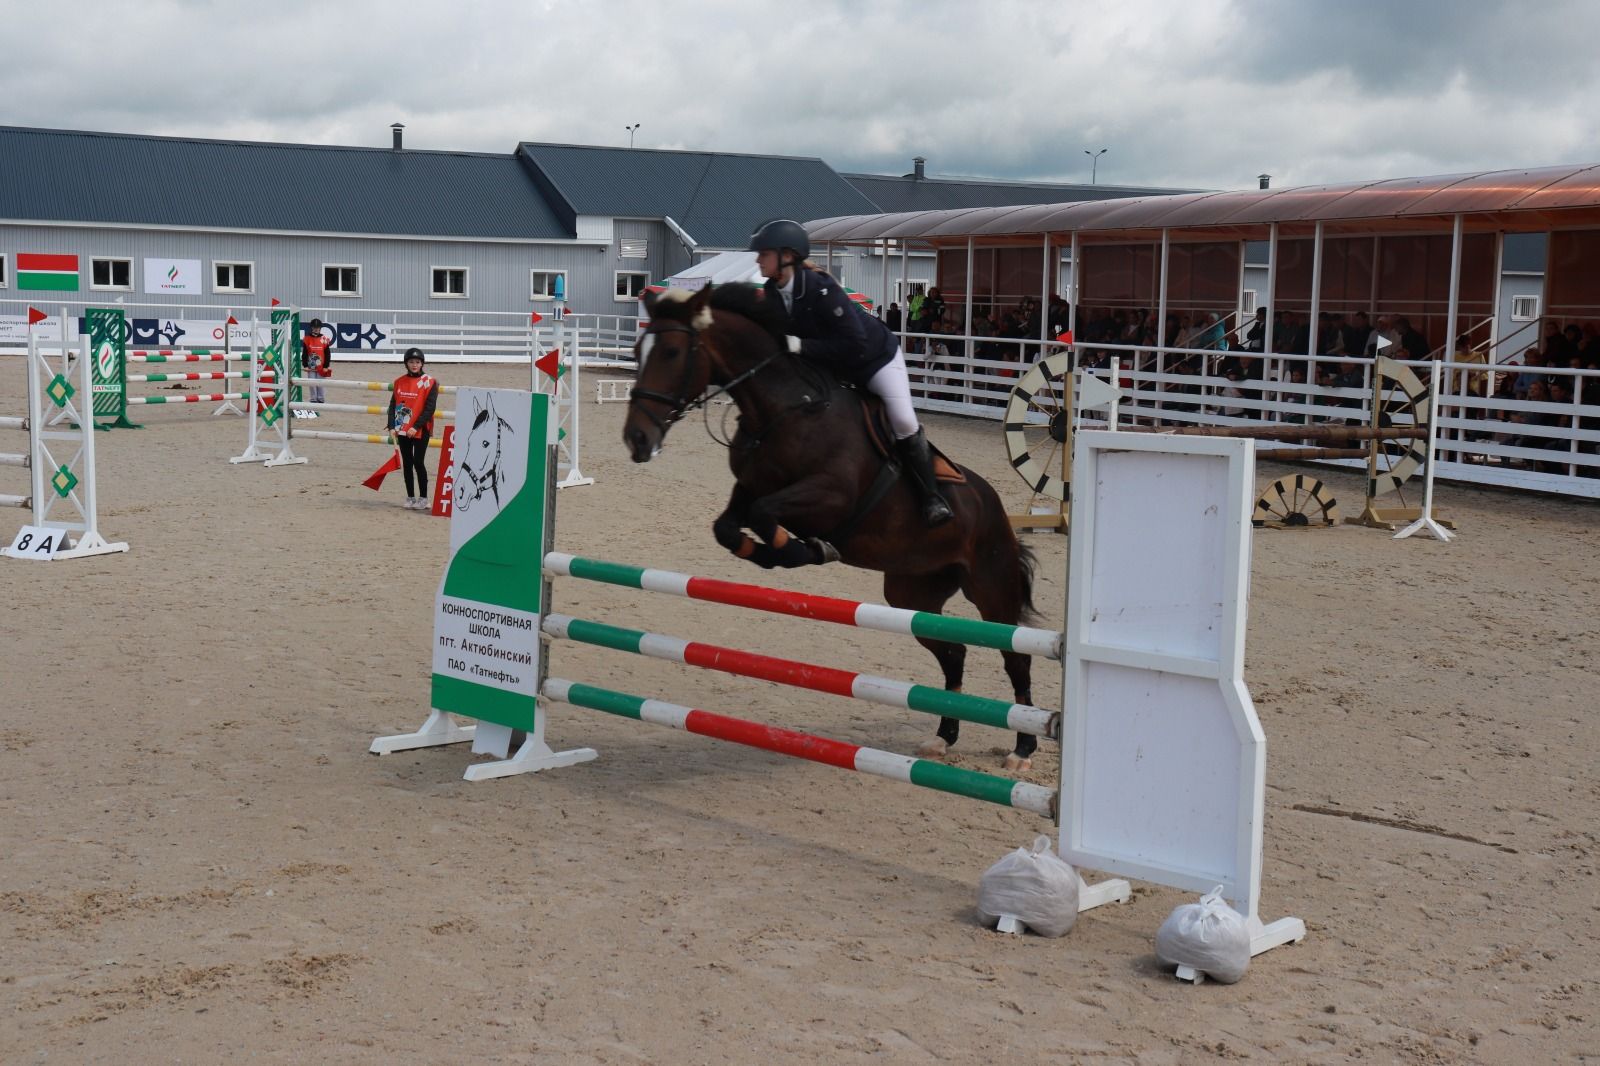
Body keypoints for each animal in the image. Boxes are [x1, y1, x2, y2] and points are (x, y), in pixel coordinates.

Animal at [617, 281, 1043, 765]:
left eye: (671, 352)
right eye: (636, 350)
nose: (637, 439)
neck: (783, 408)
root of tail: (994, 505)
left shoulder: (830, 496)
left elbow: (767, 515)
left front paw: (805, 549)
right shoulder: (749, 488)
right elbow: (729, 527)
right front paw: (776, 553)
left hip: (991, 587)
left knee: (1015, 657)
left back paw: (1023, 747)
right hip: (912, 592)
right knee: (953, 652)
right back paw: (944, 736)